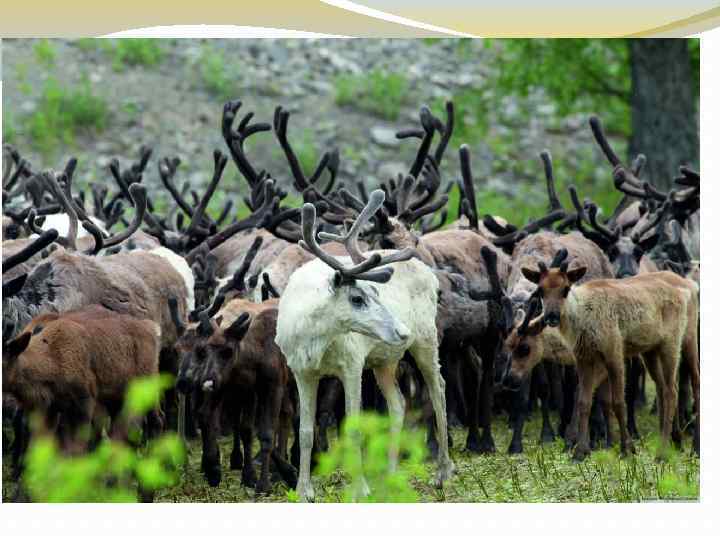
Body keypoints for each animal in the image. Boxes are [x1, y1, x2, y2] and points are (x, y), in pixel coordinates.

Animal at [275, 189, 454, 502]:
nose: (402, 331)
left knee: (439, 389)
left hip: (427, 339)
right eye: (357, 298)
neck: (313, 338)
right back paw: (391, 474)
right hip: (385, 360)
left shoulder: (353, 364)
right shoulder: (301, 371)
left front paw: (360, 488)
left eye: (376, 291)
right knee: (398, 403)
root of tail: (429, 272)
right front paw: (303, 490)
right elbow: (305, 430)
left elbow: (354, 429)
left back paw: (443, 472)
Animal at [518, 248, 699, 460]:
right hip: (651, 350)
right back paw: (674, 441)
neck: (581, 321)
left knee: (678, 388)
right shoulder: (584, 358)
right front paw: (580, 451)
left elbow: (618, 402)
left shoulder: (614, 352)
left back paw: (670, 451)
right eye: (540, 290)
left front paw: (627, 449)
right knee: (663, 387)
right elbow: (584, 402)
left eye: (566, 289)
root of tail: (688, 288)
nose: (551, 317)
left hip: (679, 340)